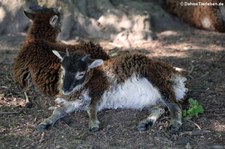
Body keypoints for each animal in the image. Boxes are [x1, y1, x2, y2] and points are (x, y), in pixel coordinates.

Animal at [36, 49, 188, 133]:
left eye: (81, 73)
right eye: (63, 69)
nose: (65, 89)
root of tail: (178, 76)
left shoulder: (99, 91)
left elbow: (91, 108)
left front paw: (94, 124)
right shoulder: (73, 103)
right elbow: (58, 110)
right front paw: (45, 123)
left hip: (159, 83)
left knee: (175, 105)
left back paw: (175, 124)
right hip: (151, 101)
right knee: (160, 109)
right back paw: (146, 123)